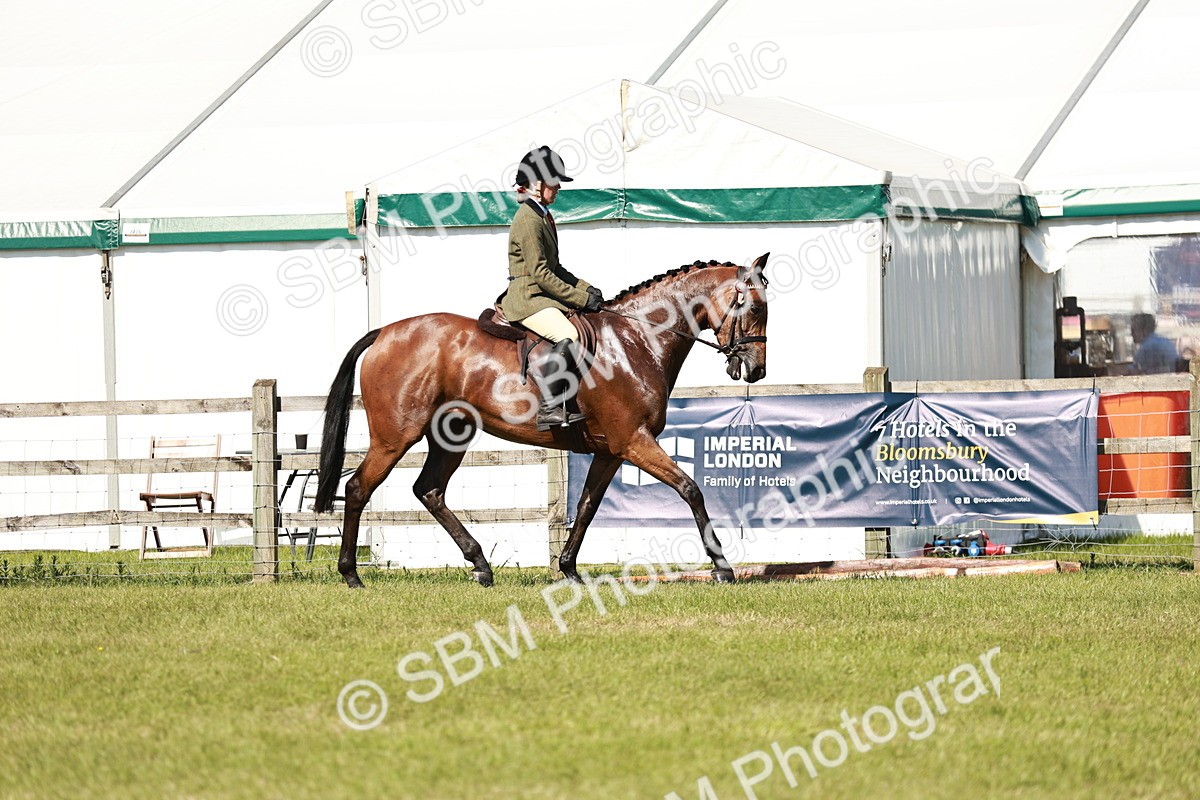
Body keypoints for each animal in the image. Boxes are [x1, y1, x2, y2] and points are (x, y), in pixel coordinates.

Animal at [314, 253, 770, 588]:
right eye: (752, 307)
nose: (756, 370)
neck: (635, 340)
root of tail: (384, 333)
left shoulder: (611, 450)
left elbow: (586, 507)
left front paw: (568, 569)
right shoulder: (634, 440)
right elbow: (690, 489)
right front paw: (722, 568)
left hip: (452, 435)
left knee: (429, 490)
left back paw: (481, 566)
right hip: (396, 436)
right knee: (358, 488)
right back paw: (351, 575)